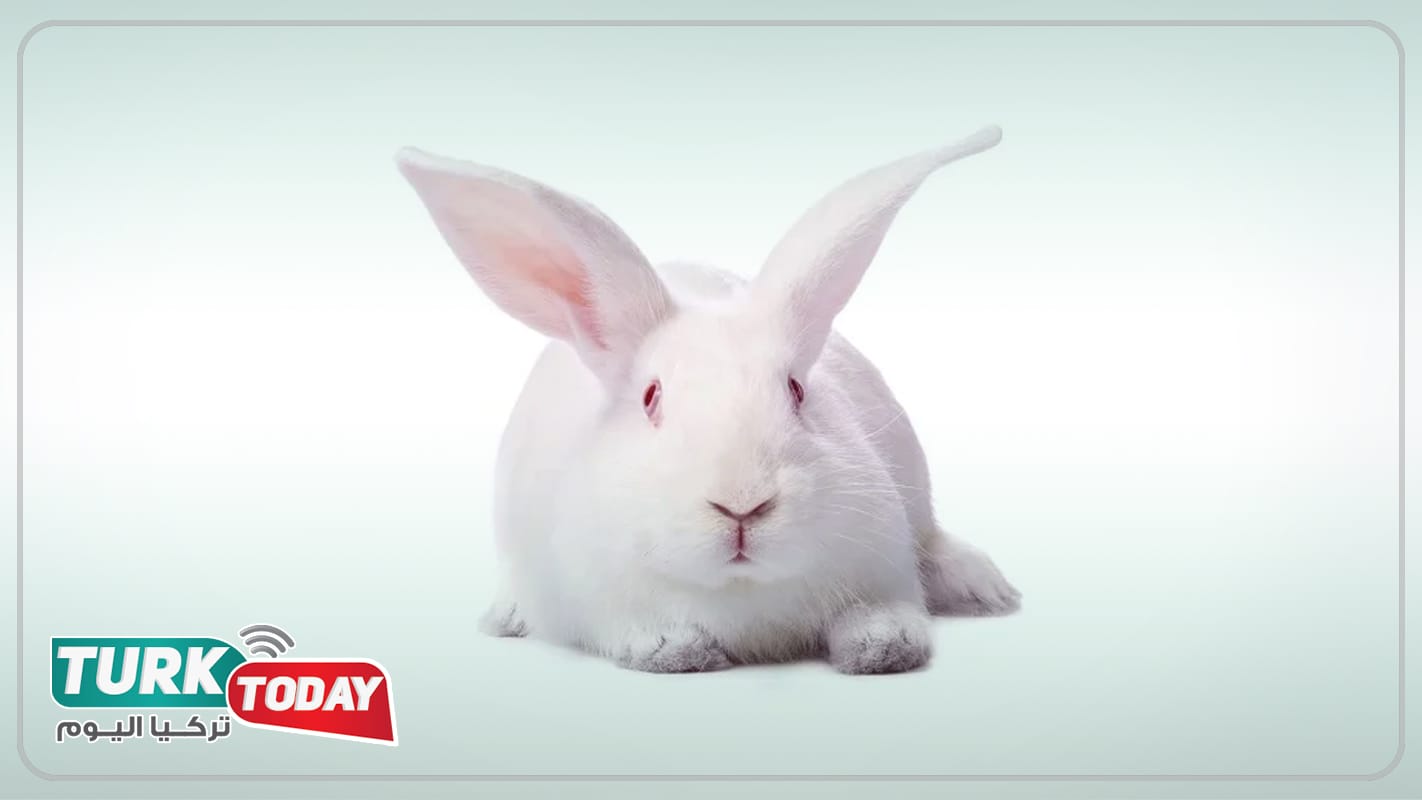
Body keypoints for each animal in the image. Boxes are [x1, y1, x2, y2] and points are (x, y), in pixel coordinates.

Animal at [395, 125, 1020, 674]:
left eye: (797, 390)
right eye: (651, 398)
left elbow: (882, 612)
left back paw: (987, 589)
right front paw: (672, 649)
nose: (742, 505)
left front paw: (883, 644)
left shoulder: (881, 567)